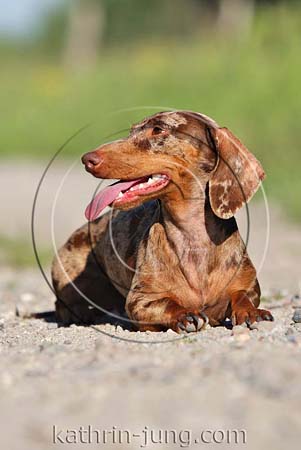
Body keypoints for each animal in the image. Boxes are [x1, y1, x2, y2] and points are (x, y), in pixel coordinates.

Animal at [51, 110, 272, 332]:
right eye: (131, 131)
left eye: (158, 129)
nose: (87, 159)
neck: (193, 239)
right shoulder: (139, 300)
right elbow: (167, 303)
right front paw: (185, 314)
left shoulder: (249, 286)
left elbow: (241, 296)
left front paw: (252, 311)